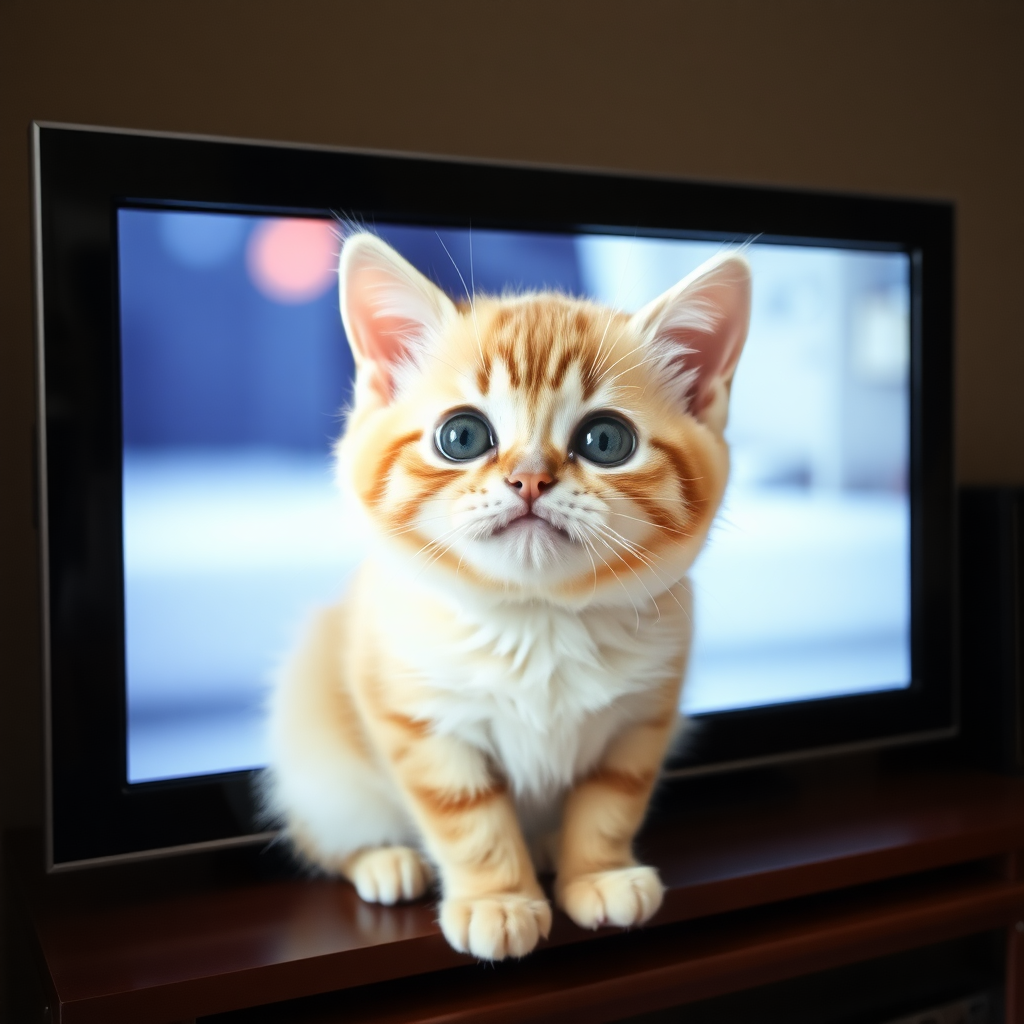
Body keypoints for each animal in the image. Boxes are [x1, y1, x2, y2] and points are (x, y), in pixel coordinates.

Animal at [266, 232, 753, 958]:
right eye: (462, 435)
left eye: (605, 440)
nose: (529, 479)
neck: (538, 619)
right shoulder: (417, 717)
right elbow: (468, 818)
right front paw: (497, 899)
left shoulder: (643, 717)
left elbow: (610, 801)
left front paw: (597, 873)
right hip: (318, 763)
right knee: (328, 835)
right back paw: (384, 860)